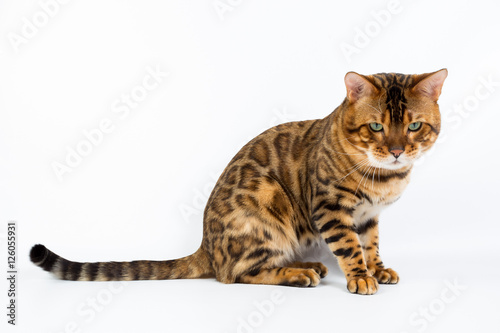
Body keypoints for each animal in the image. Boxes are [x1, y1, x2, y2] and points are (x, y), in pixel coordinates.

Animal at [30, 69, 446, 294]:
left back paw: (310, 265)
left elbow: (370, 245)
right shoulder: (331, 207)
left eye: (414, 126)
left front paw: (378, 269)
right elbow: (350, 247)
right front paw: (361, 277)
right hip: (266, 212)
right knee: (237, 274)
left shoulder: (368, 216)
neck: (385, 177)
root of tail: (206, 247)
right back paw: (299, 273)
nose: (397, 150)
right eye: (376, 127)